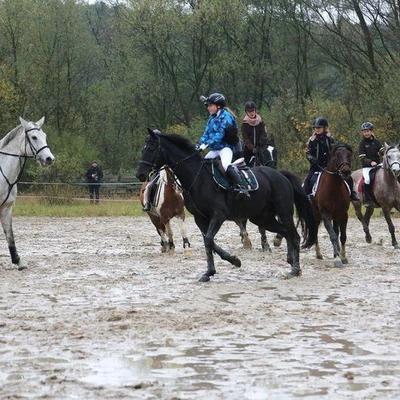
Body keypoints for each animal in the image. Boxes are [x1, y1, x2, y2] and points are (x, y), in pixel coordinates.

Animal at [0, 117, 54, 270]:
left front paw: (19, 262)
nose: (49, 158)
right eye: (34, 137)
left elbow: (10, 235)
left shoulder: (6, 208)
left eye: (44, 136)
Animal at [136, 129, 318, 282]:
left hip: (283, 212)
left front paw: (226, 264)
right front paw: (218, 268)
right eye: (143, 149)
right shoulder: (200, 218)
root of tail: (280, 175)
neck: (198, 178)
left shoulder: (219, 215)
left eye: (151, 149)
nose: (140, 174)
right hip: (262, 218)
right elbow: (209, 242)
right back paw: (291, 261)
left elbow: (209, 240)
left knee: (294, 236)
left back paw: (295, 269)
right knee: (285, 232)